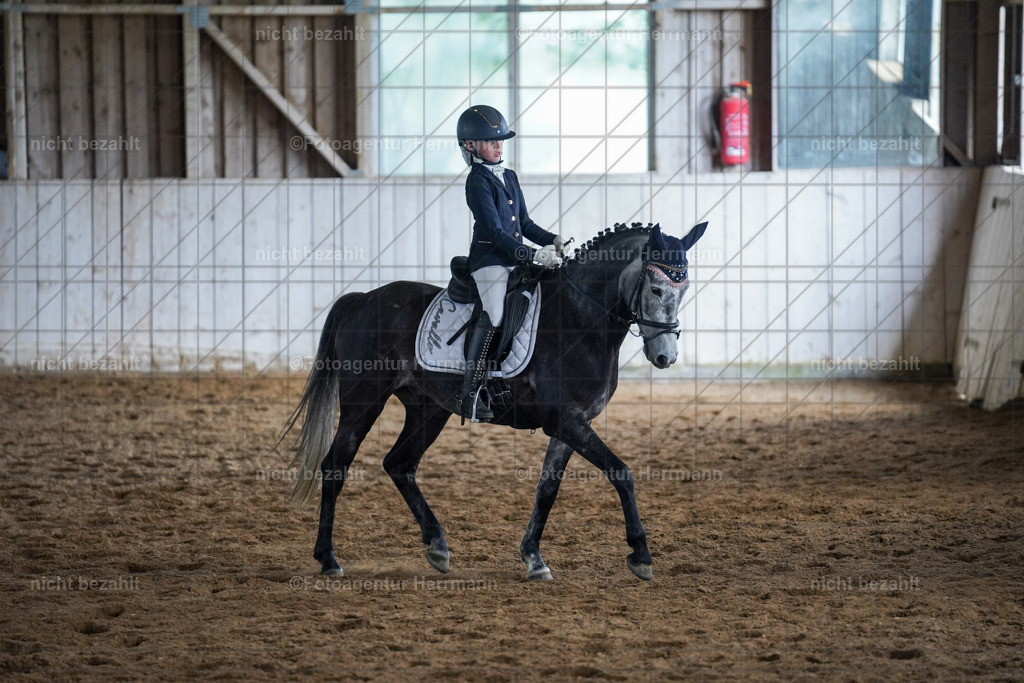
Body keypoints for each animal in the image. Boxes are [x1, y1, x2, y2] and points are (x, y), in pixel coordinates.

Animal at [280, 221, 708, 581]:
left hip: (428, 408)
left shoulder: (571, 424)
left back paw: (437, 547)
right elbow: (621, 472)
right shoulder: (567, 421)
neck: (580, 318)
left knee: (399, 463)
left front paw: (534, 558)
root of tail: (363, 299)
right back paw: (328, 559)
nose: (665, 357)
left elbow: (547, 490)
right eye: (656, 289)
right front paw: (641, 555)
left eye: (684, 290)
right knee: (336, 466)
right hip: (363, 403)